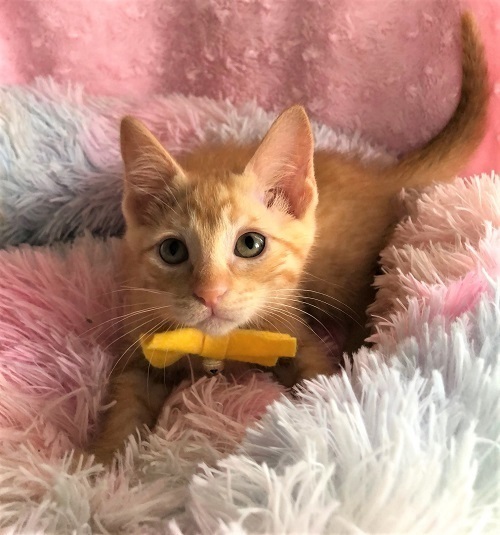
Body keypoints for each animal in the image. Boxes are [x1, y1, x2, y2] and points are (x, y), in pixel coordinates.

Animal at [89, 13, 488, 463]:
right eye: (172, 250)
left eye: (250, 244)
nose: (210, 294)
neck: (220, 345)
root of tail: (373, 173)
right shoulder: (140, 341)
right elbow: (124, 404)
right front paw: (100, 468)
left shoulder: (292, 332)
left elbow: (317, 378)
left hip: (335, 275)